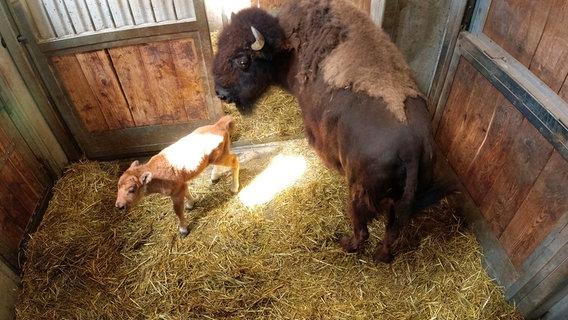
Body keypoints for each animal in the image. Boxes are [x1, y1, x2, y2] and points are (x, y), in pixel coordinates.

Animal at [212, 0, 452, 262]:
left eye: (243, 60)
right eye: (220, 46)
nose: (220, 93)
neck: (287, 43)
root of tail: (411, 147)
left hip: (358, 192)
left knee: (363, 229)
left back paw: (346, 243)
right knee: (392, 230)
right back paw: (381, 255)